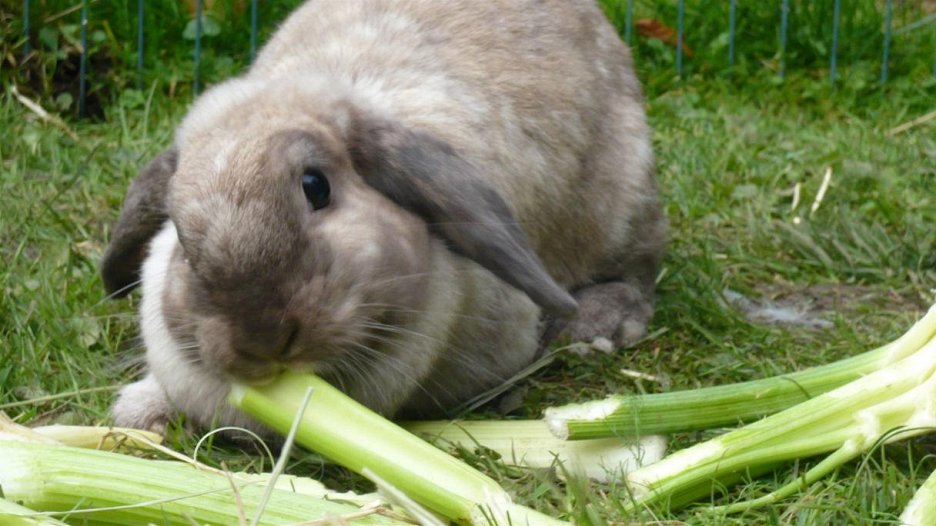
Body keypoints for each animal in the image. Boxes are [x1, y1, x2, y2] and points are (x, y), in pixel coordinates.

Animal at [101, 0, 666, 433]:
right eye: (181, 237)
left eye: (316, 187)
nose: (263, 341)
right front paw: (138, 412)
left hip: (627, 203)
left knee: (637, 271)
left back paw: (597, 325)